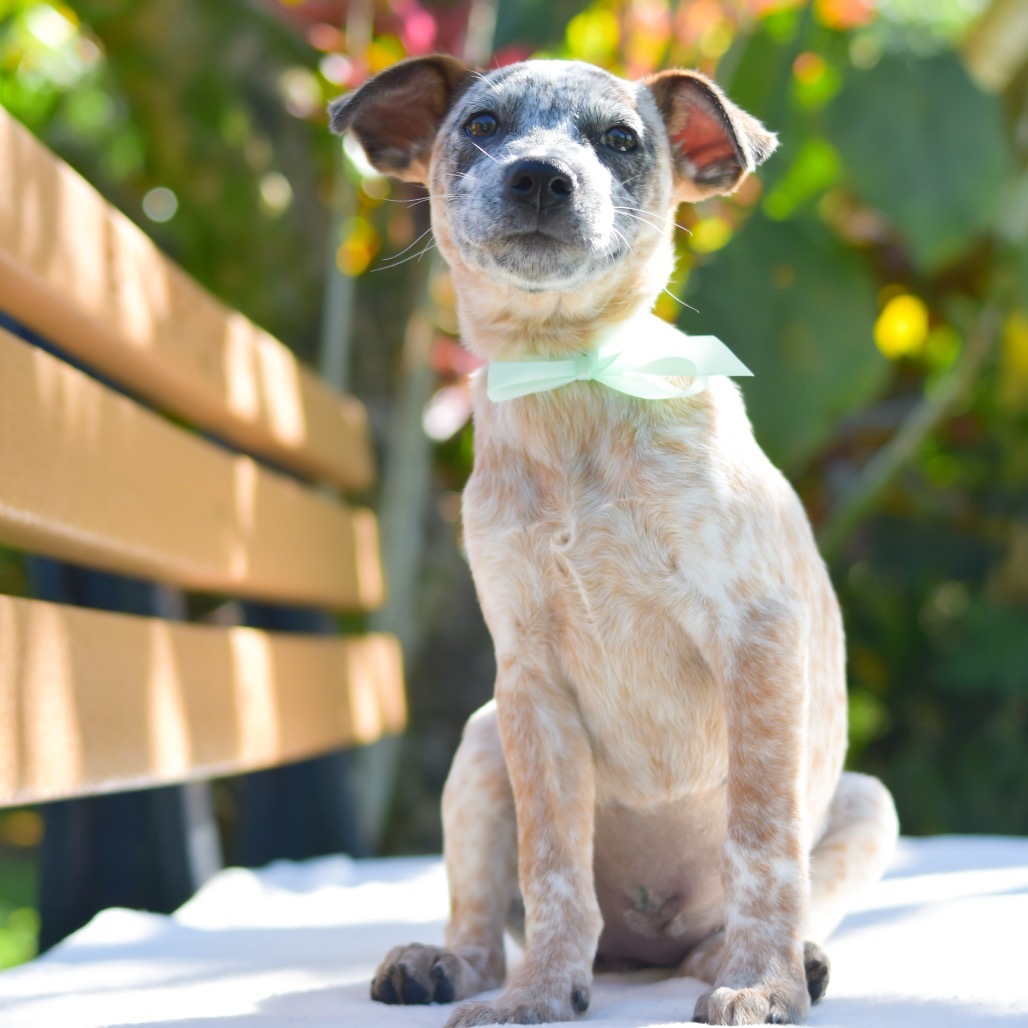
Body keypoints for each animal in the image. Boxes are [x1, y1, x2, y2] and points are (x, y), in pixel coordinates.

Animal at [331, 58, 900, 1028]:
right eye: (481, 125)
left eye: (621, 140)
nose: (539, 177)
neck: (572, 379)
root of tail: (646, 949)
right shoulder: (531, 683)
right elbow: (553, 871)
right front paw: (540, 992)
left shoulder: (756, 639)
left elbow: (763, 849)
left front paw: (764, 982)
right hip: (480, 749)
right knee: (483, 925)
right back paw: (441, 964)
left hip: (869, 803)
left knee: (769, 905)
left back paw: (786, 961)